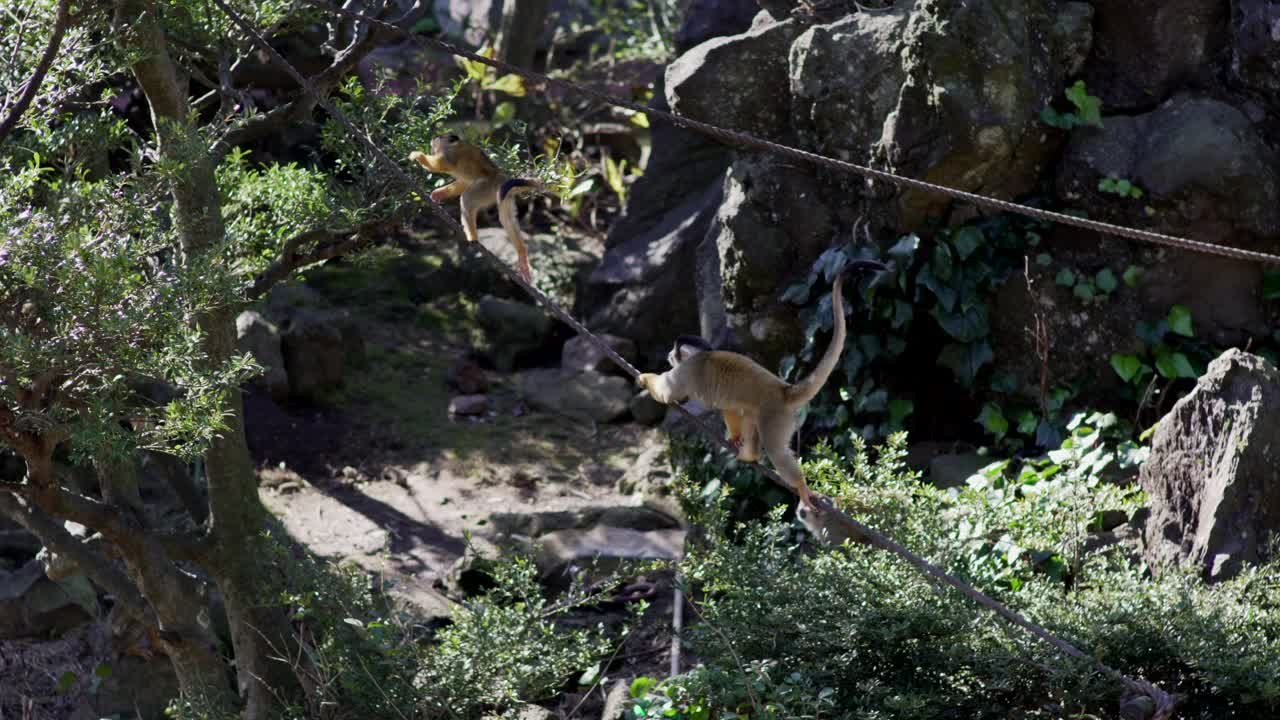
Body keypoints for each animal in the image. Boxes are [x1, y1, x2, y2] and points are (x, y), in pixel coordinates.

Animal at [409, 134, 543, 282]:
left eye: (436, 143)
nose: (432, 146)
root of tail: (502, 177)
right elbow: (464, 182)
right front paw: (439, 193)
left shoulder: (451, 154)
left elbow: (442, 165)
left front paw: (419, 156)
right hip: (504, 194)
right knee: (507, 219)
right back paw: (522, 254)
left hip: (487, 187)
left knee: (467, 199)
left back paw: (472, 236)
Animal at [636, 259, 890, 514]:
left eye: (674, 352)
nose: (669, 355)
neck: (703, 354)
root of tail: (784, 389)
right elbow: (729, 408)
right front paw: (735, 437)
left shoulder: (687, 371)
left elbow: (667, 392)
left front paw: (644, 378)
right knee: (748, 413)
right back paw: (751, 454)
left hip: (776, 416)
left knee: (776, 449)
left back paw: (800, 485)